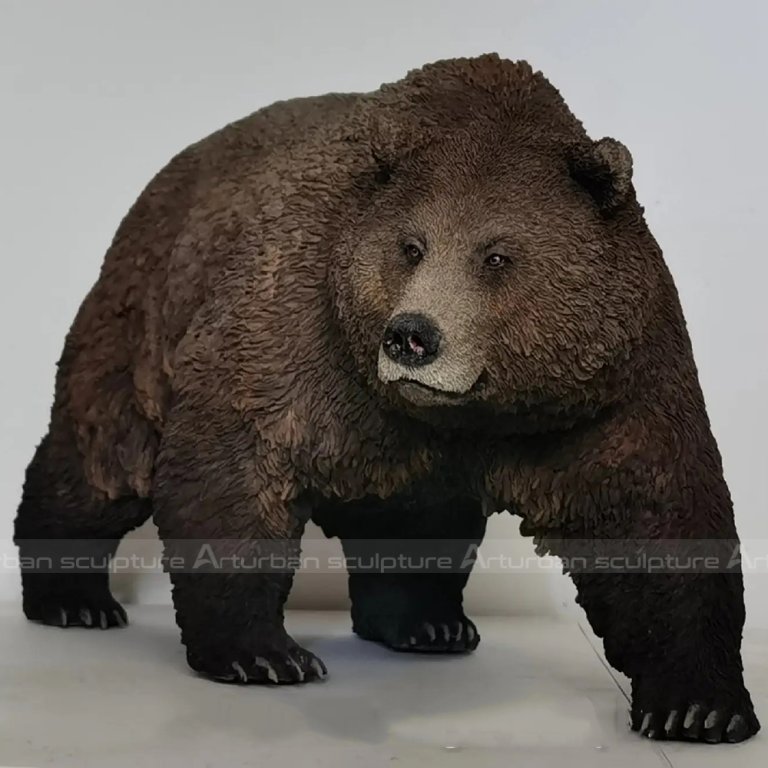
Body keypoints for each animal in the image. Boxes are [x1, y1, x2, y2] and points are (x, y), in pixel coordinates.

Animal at [14, 53, 759, 743]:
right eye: (411, 246)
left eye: (497, 255)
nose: (411, 336)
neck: (472, 412)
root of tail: (165, 177)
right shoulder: (298, 335)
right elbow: (234, 465)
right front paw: (266, 653)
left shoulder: (610, 386)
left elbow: (657, 514)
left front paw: (701, 707)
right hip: (140, 325)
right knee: (99, 459)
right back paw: (73, 598)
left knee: (420, 527)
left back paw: (428, 622)